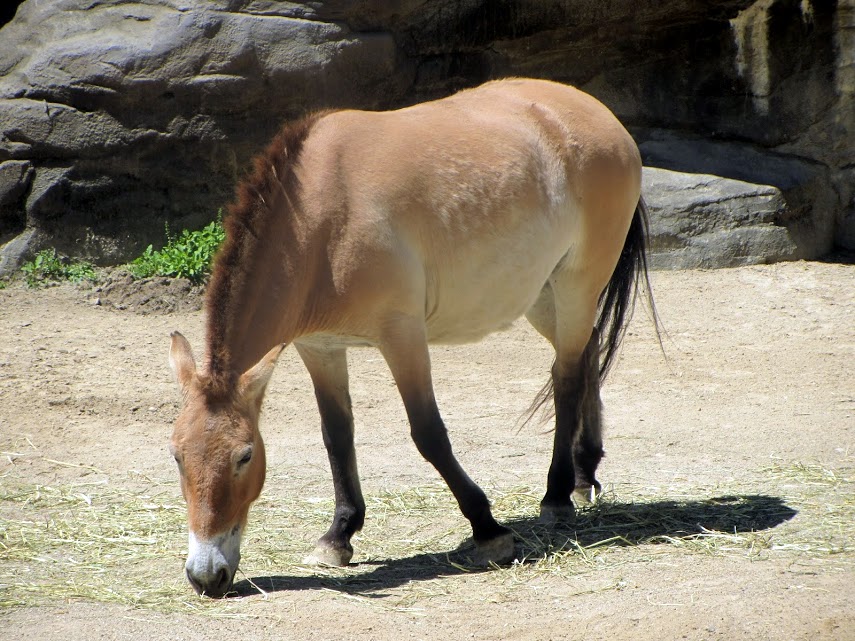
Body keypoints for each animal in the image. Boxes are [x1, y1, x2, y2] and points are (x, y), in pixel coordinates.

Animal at [167, 77, 654, 598]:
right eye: (176, 456)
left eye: (245, 455)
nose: (206, 574)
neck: (322, 220)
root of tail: (598, 116)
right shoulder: (319, 347)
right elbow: (336, 436)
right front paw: (338, 535)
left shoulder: (401, 336)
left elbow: (428, 434)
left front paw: (488, 530)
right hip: (544, 296)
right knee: (587, 357)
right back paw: (583, 476)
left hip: (576, 286)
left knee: (565, 380)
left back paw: (557, 494)